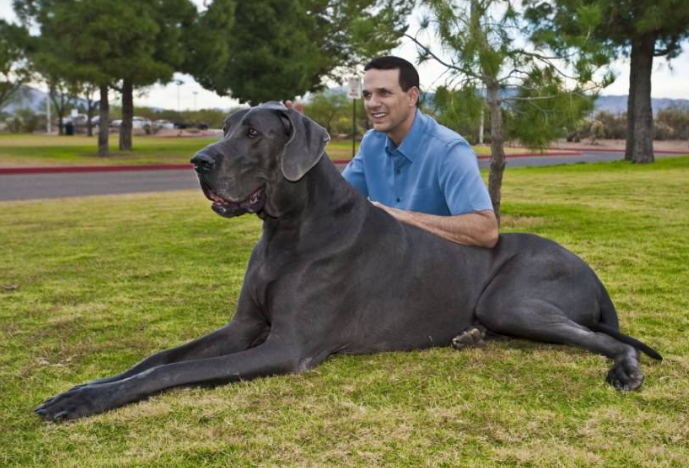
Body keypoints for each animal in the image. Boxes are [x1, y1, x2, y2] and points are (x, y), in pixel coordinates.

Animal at [36, 101, 660, 420]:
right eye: (224, 127)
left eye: (254, 133)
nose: (198, 161)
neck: (288, 229)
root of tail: (594, 273)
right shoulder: (242, 327)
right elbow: (156, 358)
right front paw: (80, 390)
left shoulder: (286, 347)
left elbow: (172, 372)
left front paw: (88, 401)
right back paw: (469, 337)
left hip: (512, 300)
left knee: (611, 340)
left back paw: (625, 369)